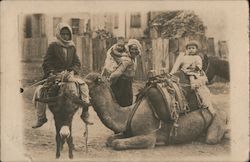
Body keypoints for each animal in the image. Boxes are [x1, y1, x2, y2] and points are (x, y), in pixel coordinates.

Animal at [85, 73, 228, 150]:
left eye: (85, 82)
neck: (126, 114)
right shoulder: (128, 132)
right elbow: (110, 139)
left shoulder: (148, 137)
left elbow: (116, 143)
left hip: (217, 119)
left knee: (212, 138)